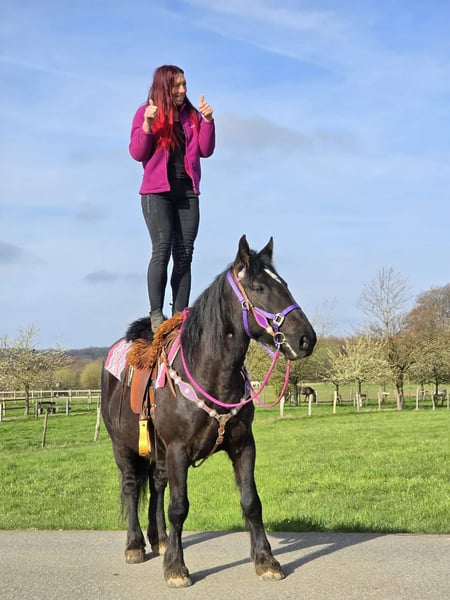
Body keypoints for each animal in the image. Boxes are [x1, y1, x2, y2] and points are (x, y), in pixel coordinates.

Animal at [101, 235, 316, 587]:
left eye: (284, 284)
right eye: (259, 287)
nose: (306, 339)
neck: (209, 372)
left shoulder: (243, 445)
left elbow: (251, 502)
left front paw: (266, 561)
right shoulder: (177, 450)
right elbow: (179, 507)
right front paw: (176, 569)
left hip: (158, 452)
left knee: (157, 486)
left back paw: (159, 539)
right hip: (123, 446)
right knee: (132, 487)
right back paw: (134, 545)